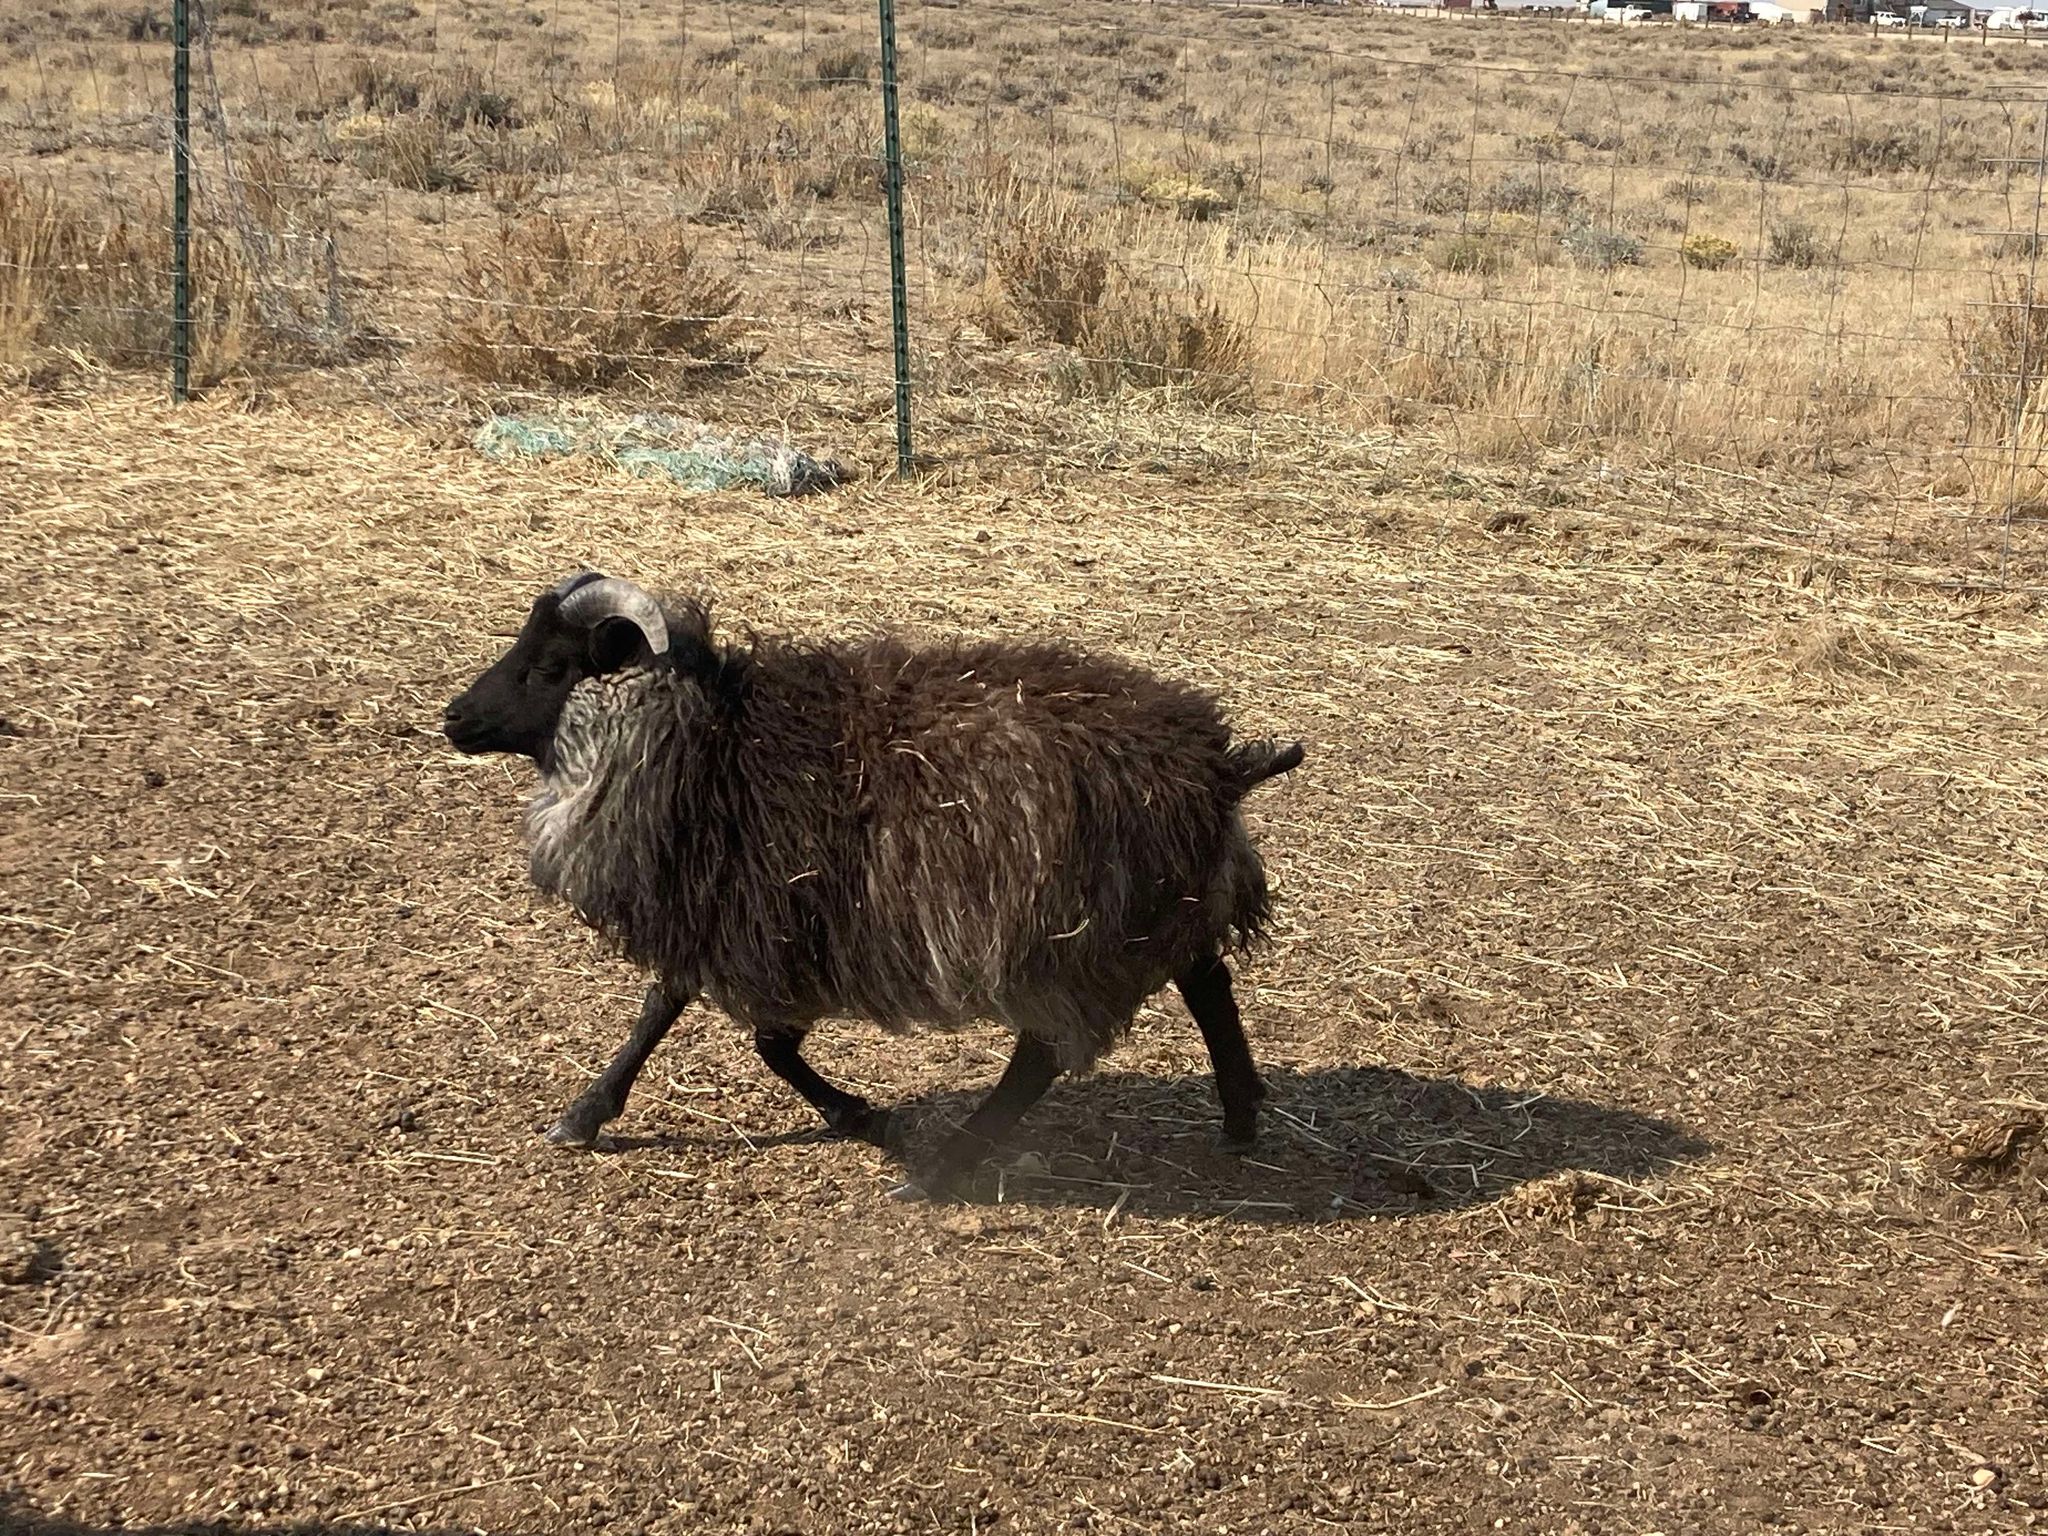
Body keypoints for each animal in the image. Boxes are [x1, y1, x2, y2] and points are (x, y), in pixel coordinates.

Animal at [444, 573, 1310, 1196]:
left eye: (551, 666)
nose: (455, 717)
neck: (710, 743)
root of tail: (1218, 764)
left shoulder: (773, 921)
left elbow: (762, 1043)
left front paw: (864, 1119)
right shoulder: (724, 907)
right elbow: (665, 1007)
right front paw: (586, 1114)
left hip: (1061, 939)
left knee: (1041, 1055)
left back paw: (940, 1172)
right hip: (1158, 902)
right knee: (1207, 978)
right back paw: (1240, 1114)